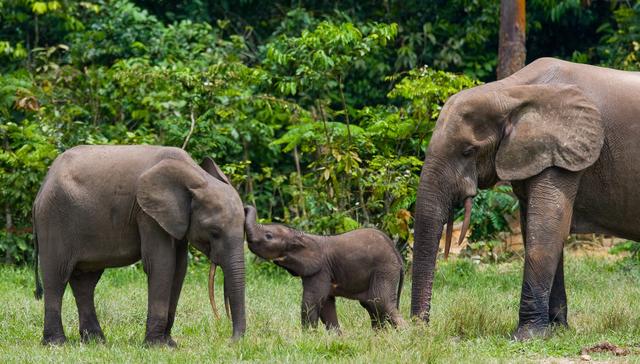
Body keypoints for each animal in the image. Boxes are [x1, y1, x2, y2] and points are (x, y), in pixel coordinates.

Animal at [33, 146, 248, 346]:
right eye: (214, 232)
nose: (230, 340)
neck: (195, 176)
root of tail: (42, 188)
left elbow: (179, 268)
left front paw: (169, 344)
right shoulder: (146, 214)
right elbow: (161, 264)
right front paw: (156, 346)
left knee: (85, 282)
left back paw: (96, 341)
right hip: (54, 219)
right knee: (57, 276)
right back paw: (56, 343)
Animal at [245, 206, 404, 332]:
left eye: (268, 236)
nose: (246, 207)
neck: (300, 235)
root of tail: (396, 252)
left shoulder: (320, 270)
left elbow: (312, 301)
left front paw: (309, 336)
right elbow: (326, 305)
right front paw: (335, 337)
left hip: (384, 269)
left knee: (380, 302)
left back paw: (404, 335)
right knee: (372, 305)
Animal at [410, 58, 640, 340]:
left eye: (468, 151)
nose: (421, 330)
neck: (508, 92)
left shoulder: (561, 152)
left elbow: (547, 229)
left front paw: (526, 337)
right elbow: (536, 229)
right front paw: (557, 331)